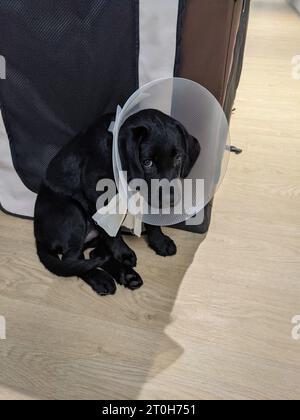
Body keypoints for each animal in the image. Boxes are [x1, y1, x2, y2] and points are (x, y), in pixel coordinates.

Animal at [34, 110, 200, 296]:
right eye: (147, 162)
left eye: (178, 157)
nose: (170, 199)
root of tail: (38, 236)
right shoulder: (96, 188)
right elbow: (112, 233)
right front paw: (124, 253)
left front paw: (160, 242)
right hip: (72, 212)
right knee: (72, 261)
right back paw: (102, 279)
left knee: (94, 255)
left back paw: (127, 276)